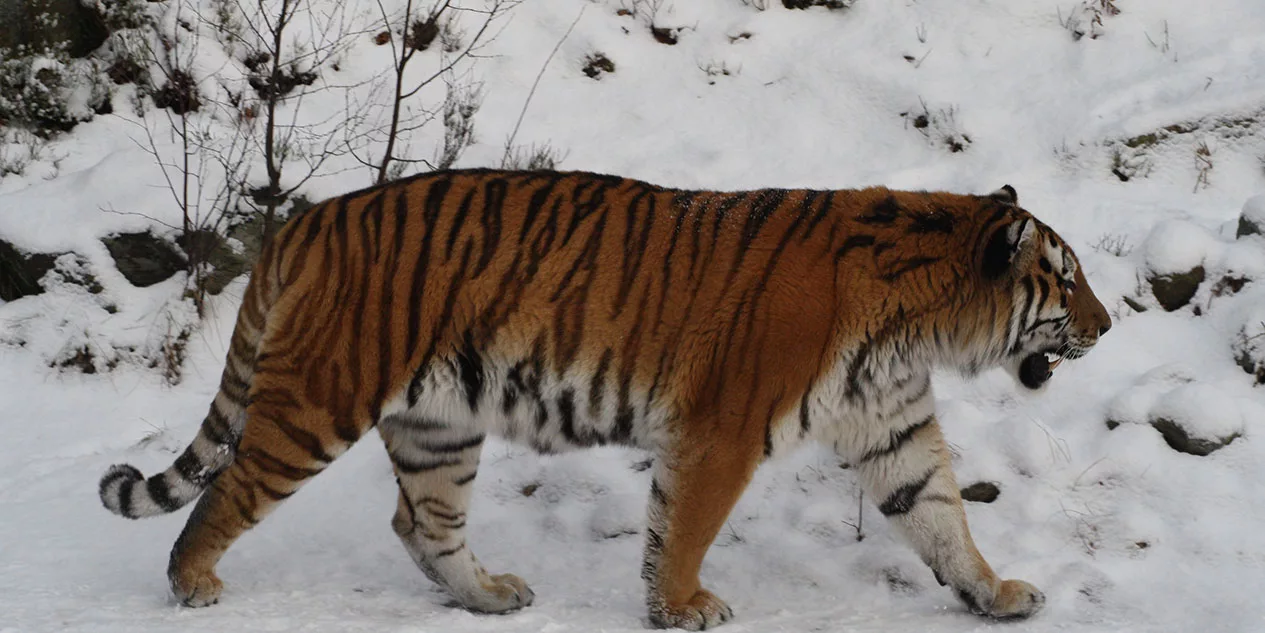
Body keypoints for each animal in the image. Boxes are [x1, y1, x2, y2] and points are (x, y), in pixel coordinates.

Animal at [98, 169, 1111, 630]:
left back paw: (489, 594)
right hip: (320, 398)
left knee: (421, 521)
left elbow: (940, 516)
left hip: (439, 426)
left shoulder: (891, 426)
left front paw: (995, 592)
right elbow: (688, 523)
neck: (918, 324)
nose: (1106, 326)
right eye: (1065, 281)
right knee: (230, 490)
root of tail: (304, 221)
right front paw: (682, 604)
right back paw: (192, 583)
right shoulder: (722, 428)